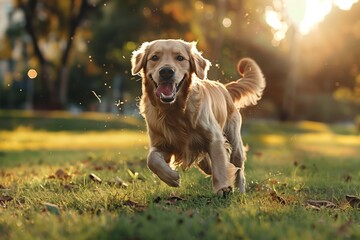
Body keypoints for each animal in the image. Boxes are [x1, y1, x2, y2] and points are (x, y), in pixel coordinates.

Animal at [131, 38, 266, 195]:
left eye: (180, 58)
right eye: (154, 57)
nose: (166, 72)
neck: (174, 111)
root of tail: (224, 87)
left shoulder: (215, 138)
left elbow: (220, 165)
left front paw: (222, 188)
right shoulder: (161, 144)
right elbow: (151, 159)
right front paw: (171, 177)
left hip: (234, 140)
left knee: (238, 169)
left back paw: (240, 191)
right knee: (210, 164)